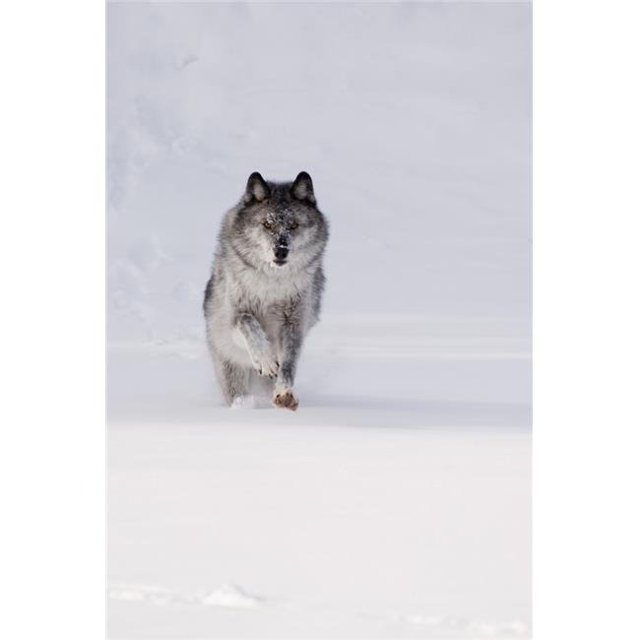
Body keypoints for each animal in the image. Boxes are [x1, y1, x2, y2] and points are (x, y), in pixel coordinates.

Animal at [203, 171, 329, 410]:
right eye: (267, 224)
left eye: (293, 224)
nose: (281, 251)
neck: (272, 284)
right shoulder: (235, 318)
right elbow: (248, 322)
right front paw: (267, 360)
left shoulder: (295, 324)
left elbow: (288, 364)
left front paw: (285, 392)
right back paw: (242, 405)